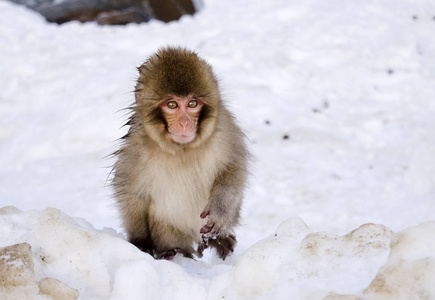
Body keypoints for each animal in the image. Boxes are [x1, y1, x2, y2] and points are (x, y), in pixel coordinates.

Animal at [112, 47, 249, 260]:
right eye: (172, 105)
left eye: (192, 104)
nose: (185, 123)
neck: (182, 149)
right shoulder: (135, 148)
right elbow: (131, 192)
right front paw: (141, 243)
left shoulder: (225, 129)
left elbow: (234, 167)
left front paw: (218, 210)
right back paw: (173, 251)